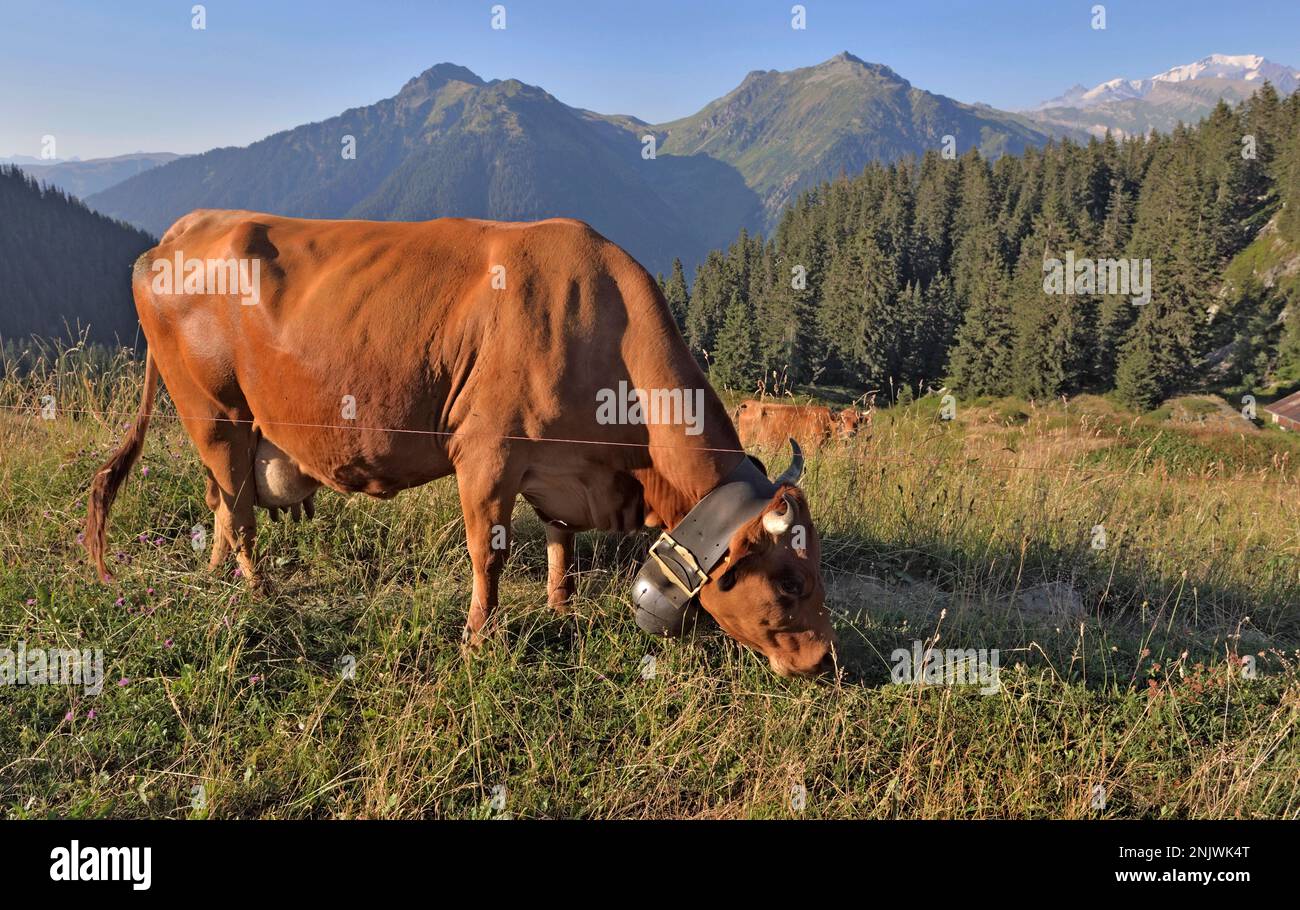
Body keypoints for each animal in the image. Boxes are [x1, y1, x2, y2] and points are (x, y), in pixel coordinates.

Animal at [83, 208, 832, 676]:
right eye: (790, 580)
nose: (823, 660)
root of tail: (183, 229)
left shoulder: (558, 469)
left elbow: (561, 542)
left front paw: (561, 607)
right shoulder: (488, 454)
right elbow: (489, 555)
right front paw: (478, 641)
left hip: (227, 425)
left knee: (221, 500)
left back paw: (216, 577)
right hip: (213, 411)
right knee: (238, 512)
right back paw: (261, 591)